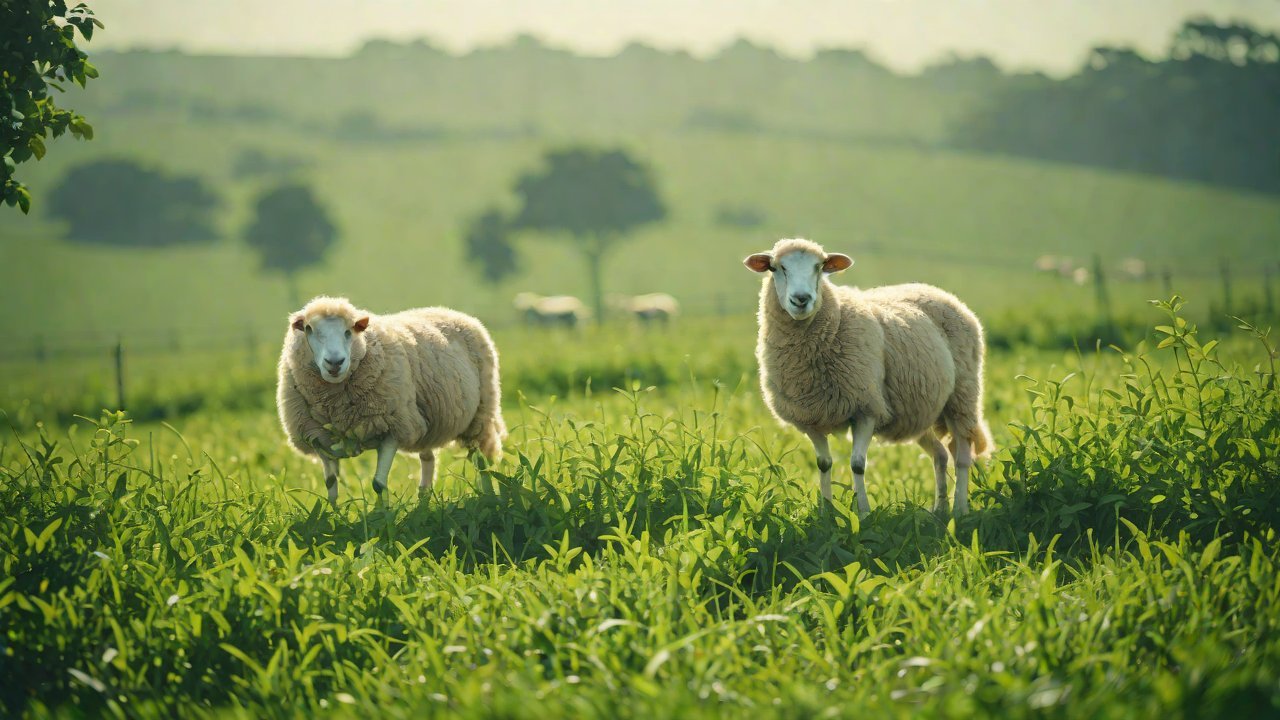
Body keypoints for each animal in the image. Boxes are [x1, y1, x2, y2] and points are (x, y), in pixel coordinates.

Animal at [277, 296, 506, 504]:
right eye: (309, 329)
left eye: (349, 331)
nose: (335, 362)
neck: (337, 406)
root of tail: (448, 311)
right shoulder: (317, 437)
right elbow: (331, 485)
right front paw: (332, 517)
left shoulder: (392, 428)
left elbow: (378, 484)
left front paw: (383, 517)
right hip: (424, 420)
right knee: (428, 460)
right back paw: (423, 502)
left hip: (480, 415)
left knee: (482, 461)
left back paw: (489, 497)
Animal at [744, 238, 992, 517]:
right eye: (777, 268)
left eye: (819, 267)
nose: (801, 299)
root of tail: (936, 291)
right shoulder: (810, 418)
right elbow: (823, 463)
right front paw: (826, 513)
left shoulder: (867, 408)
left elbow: (857, 464)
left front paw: (862, 513)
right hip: (919, 411)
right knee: (940, 455)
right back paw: (939, 510)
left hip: (963, 396)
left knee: (962, 455)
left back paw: (960, 509)